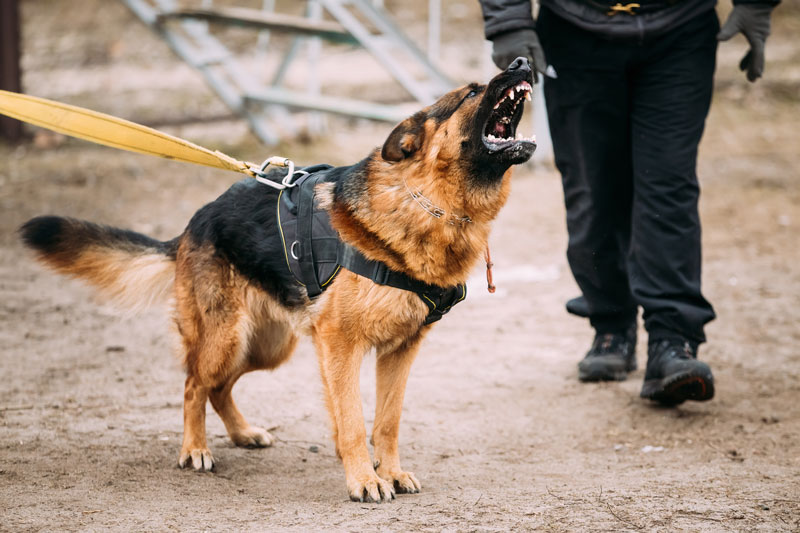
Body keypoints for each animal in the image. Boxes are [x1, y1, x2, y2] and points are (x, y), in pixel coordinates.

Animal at [18, 58, 536, 502]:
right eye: (471, 91)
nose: (522, 62)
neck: (428, 202)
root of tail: (193, 224)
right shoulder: (340, 345)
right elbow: (352, 420)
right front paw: (364, 481)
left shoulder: (400, 350)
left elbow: (387, 421)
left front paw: (389, 471)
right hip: (227, 337)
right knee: (193, 384)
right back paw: (194, 448)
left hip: (267, 346)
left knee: (219, 387)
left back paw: (243, 433)